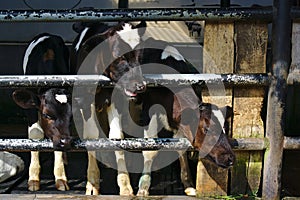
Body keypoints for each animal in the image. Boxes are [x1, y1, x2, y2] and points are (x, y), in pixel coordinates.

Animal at [12, 33, 72, 192]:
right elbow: (35, 135)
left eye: (70, 116)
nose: (66, 142)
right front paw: (33, 179)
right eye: (46, 115)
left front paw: (60, 178)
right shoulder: (32, 107)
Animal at [70, 21, 145, 195]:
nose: (140, 86)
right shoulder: (85, 101)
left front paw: (125, 185)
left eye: (140, 56)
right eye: (119, 55)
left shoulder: (116, 100)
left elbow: (116, 136)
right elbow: (91, 135)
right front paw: (92, 183)